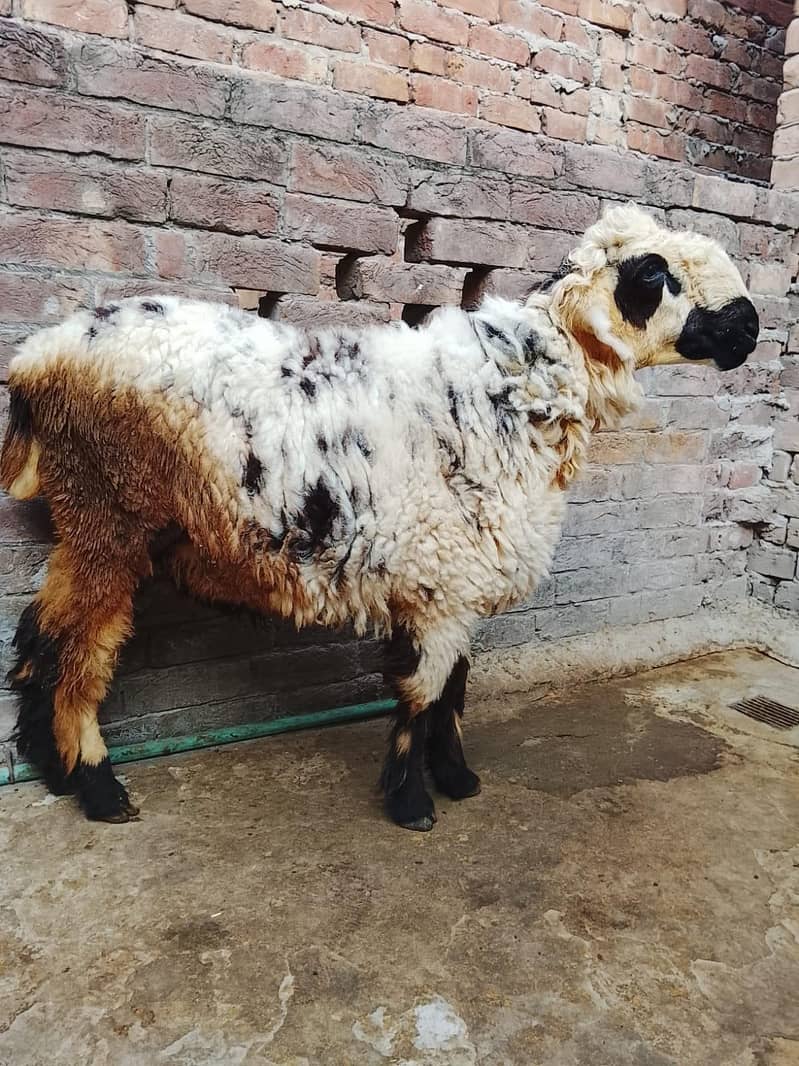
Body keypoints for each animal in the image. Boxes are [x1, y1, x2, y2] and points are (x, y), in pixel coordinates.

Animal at [0, 203, 759, 830]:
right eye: (653, 273)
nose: (749, 324)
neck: (516, 393)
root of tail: (37, 359)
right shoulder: (442, 582)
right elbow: (422, 694)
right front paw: (412, 801)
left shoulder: (458, 577)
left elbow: (454, 687)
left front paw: (457, 779)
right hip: (108, 509)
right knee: (76, 652)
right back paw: (99, 788)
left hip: (87, 517)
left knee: (39, 633)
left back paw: (50, 767)